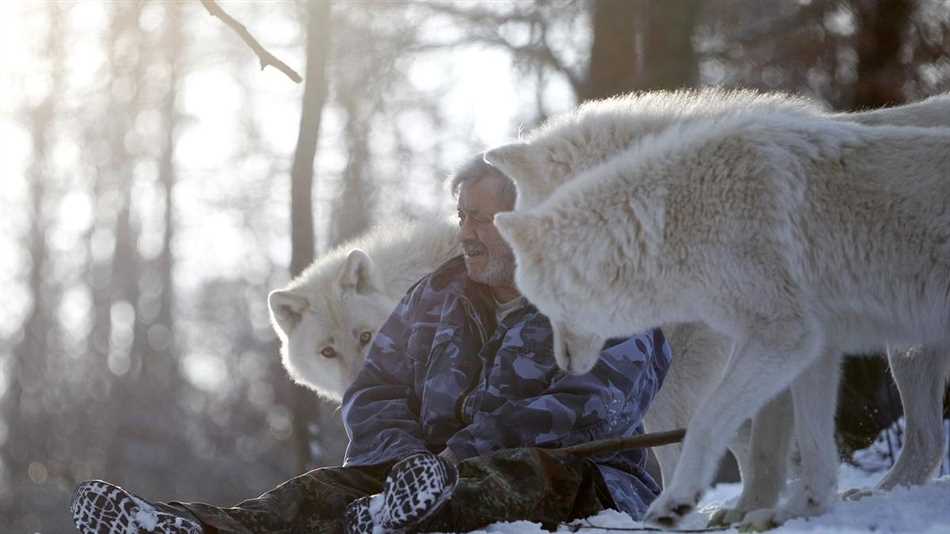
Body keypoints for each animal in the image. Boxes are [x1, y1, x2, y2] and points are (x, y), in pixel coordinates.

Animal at [490, 91, 950, 528]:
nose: (516, 313)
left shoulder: (724, 350)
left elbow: (707, 428)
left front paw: (688, 504)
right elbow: (757, 437)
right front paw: (754, 504)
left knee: (926, 439)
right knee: (929, 440)